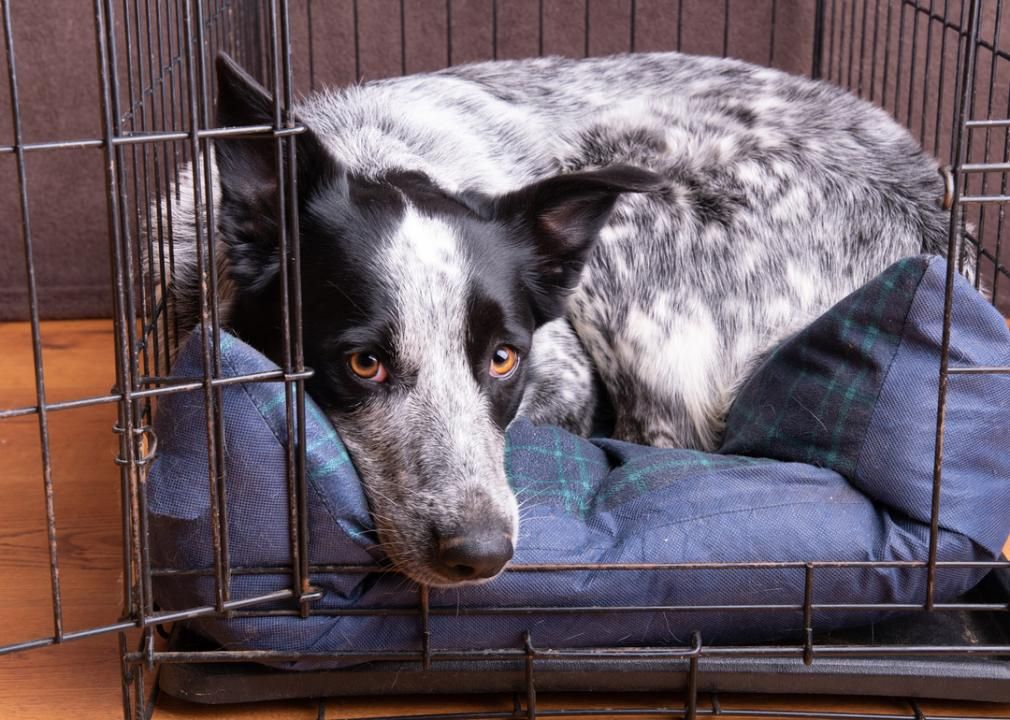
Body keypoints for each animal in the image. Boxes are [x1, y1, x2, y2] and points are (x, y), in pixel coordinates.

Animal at [161, 53, 957, 585]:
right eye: (364, 363)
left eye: (503, 358)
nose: (480, 553)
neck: (379, 153)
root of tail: (939, 231)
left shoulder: (568, 378)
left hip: (627, 200)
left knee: (667, 435)